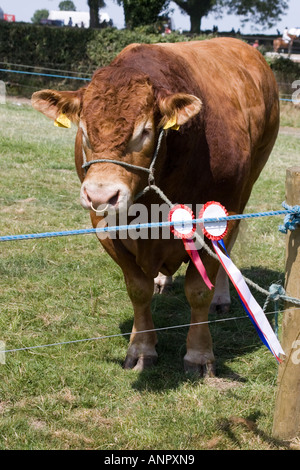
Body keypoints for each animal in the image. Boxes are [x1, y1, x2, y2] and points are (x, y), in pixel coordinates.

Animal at [31, 38, 280, 376]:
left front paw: (199, 355)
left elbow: (198, 290)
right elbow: (138, 289)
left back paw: (221, 296)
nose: (101, 195)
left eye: (145, 131)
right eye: (83, 128)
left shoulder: (219, 213)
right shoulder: (104, 226)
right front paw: (141, 347)